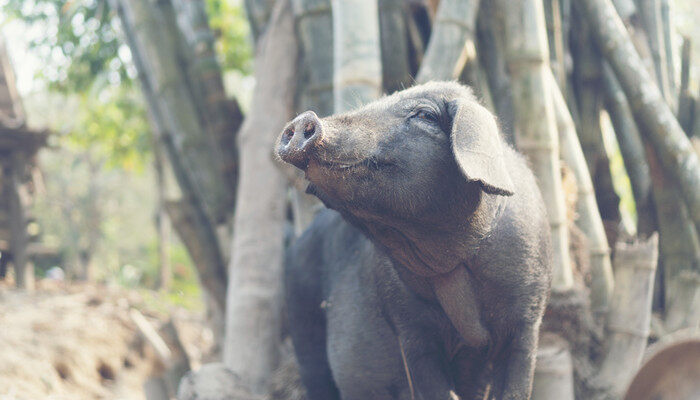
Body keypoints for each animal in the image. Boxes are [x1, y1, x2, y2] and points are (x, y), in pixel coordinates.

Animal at [278, 82, 552, 400]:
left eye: (425, 115)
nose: (303, 118)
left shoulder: (529, 313)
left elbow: (517, 384)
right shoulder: (407, 323)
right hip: (302, 319)